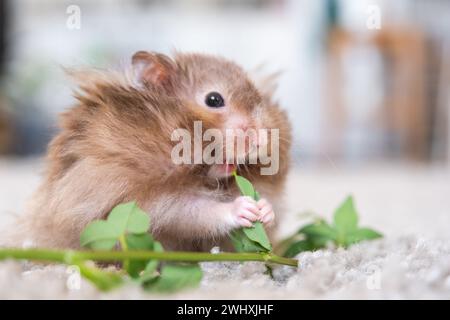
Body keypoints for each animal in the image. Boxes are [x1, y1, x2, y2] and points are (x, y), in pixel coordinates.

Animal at [6, 51, 292, 251]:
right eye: (214, 99)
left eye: (260, 98)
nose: (261, 138)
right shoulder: (142, 200)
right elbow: (195, 211)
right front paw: (244, 209)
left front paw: (264, 210)